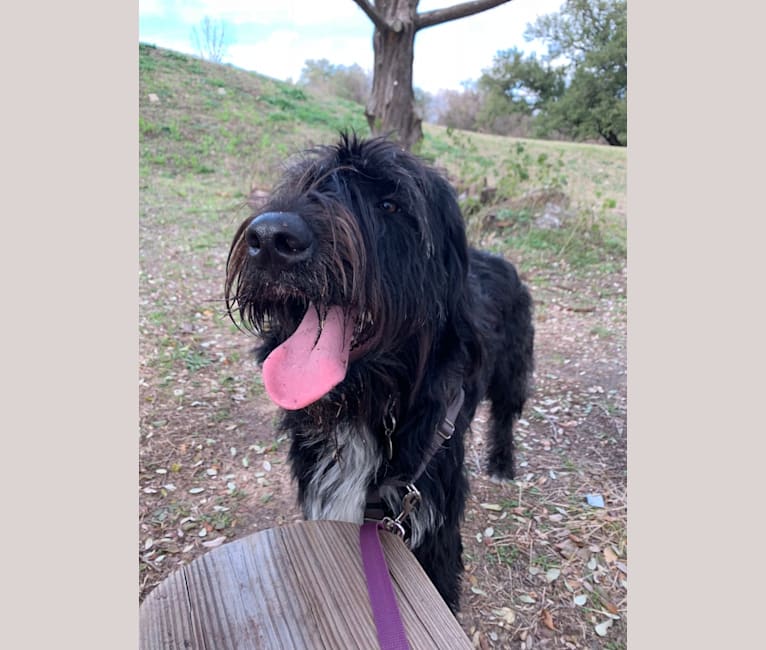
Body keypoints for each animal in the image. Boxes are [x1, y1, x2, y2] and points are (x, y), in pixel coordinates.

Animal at [226, 134, 536, 612]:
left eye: (390, 204)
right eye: (302, 183)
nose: (271, 238)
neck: (366, 409)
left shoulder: (433, 529)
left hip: (512, 369)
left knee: (505, 414)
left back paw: (502, 462)